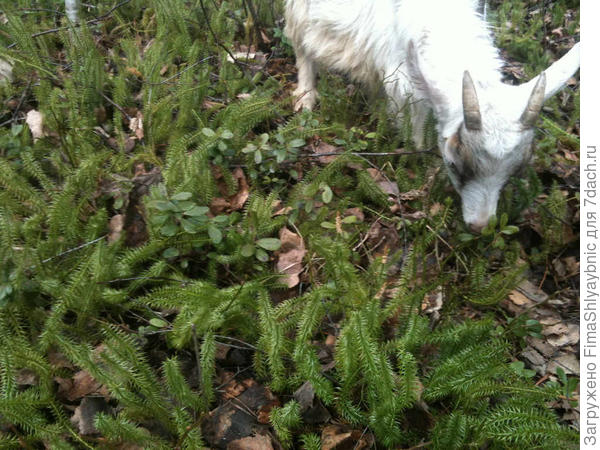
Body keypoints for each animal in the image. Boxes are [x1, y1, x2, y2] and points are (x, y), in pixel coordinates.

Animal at [286, 0, 580, 232]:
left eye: (515, 171)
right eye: (452, 163)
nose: (480, 227)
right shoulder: (405, 88)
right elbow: (415, 136)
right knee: (300, 42)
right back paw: (306, 97)